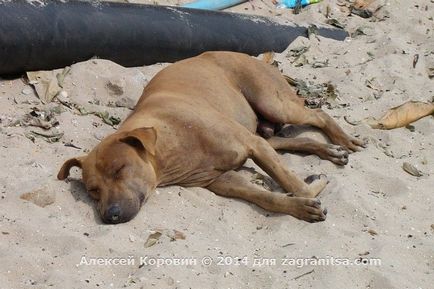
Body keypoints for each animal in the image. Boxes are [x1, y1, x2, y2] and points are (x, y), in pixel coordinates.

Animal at [56, 51, 362, 223]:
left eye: (120, 169)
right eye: (93, 190)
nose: (111, 216)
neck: (170, 144)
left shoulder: (251, 146)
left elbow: (291, 182)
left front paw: (309, 190)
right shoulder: (222, 181)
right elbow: (264, 197)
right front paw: (298, 203)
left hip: (272, 103)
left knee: (318, 114)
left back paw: (343, 140)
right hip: (260, 128)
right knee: (286, 140)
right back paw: (329, 151)